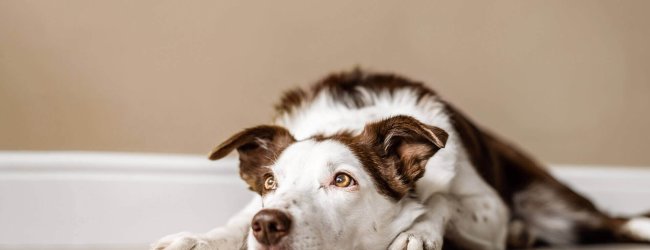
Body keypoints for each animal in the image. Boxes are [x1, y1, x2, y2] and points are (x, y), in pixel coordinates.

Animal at [152, 69, 648, 250]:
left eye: (343, 181)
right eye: (271, 184)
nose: (268, 225)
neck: (347, 121)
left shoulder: (489, 208)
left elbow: (441, 200)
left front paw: (417, 233)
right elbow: (233, 223)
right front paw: (197, 239)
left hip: (554, 204)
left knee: (613, 220)